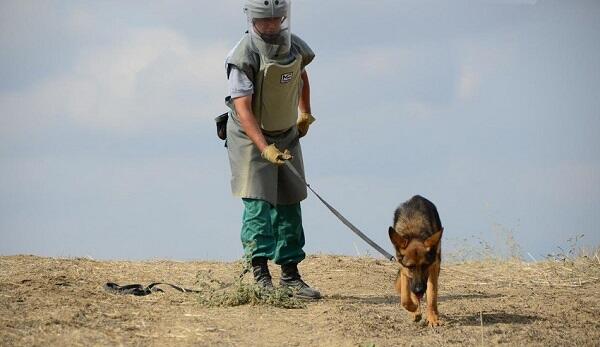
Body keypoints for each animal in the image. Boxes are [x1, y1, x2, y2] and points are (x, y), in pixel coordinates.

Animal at [386, 197, 442, 328]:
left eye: (425, 265)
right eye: (410, 266)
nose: (419, 290)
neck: (414, 232)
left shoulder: (433, 267)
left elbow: (431, 294)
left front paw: (432, 318)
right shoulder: (404, 270)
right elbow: (405, 298)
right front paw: (414, 309)